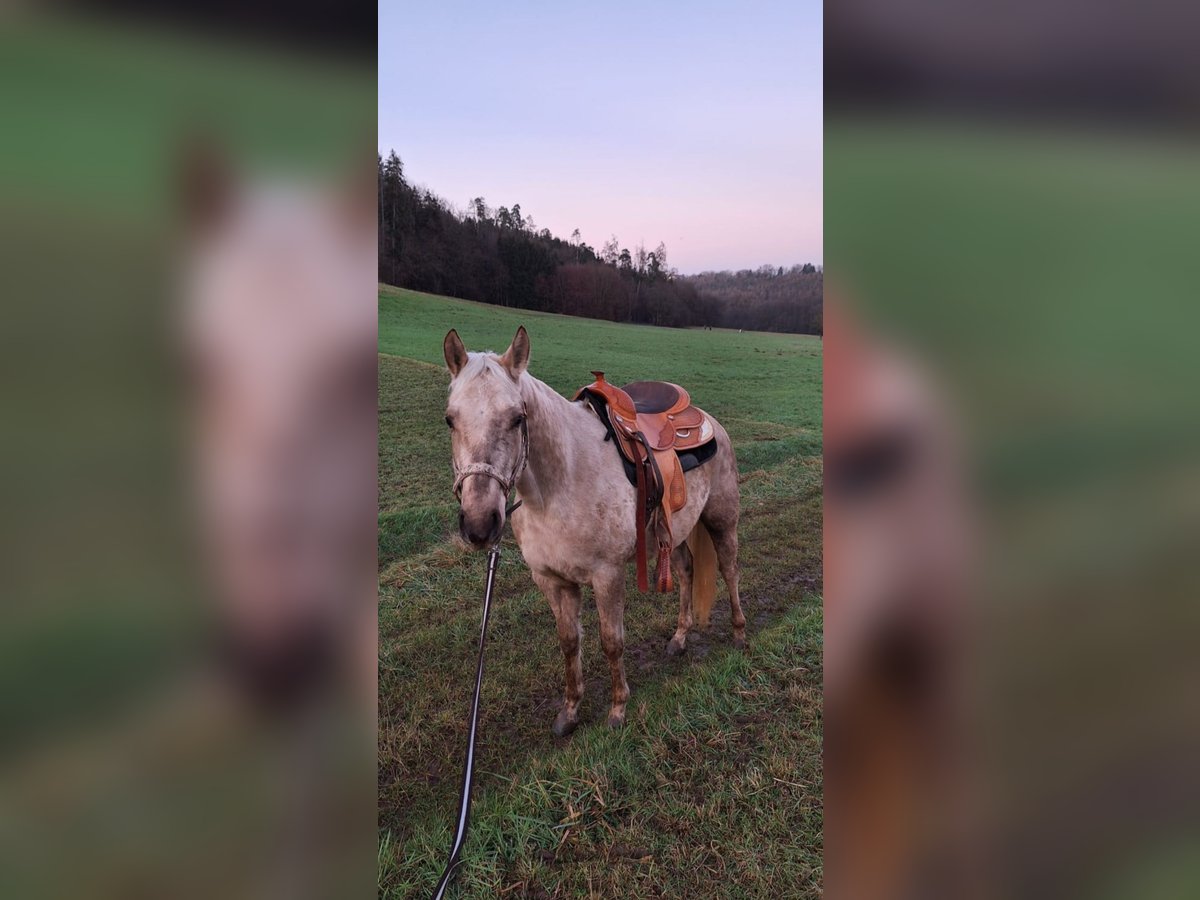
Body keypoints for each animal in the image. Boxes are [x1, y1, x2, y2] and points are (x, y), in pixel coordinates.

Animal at [446, 328, 744, 734]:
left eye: (517, 418)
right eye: (450, 420)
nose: (479, 524)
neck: (560, 486)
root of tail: (709, 421)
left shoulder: (608, 576)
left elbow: (611, 641)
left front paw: (618, 709)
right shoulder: (552, 580)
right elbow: (569, 642)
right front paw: (570, 711)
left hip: (721, 520)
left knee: (729, 569)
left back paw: (740, 633)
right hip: (676, 531)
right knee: (685, 572)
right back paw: (680, 638)